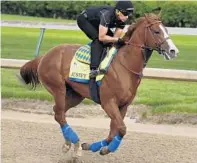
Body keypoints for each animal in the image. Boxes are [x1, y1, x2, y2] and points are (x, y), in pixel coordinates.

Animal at [18, 13, 179, 157]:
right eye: (156, 31)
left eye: (166, 30)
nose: (173, 51)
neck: (125, 65)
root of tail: (44, 56)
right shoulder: (108, 102)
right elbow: (122, 129)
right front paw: (105, 149)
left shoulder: (123, 105)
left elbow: (114, 131)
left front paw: (93, 146)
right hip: (58, 89)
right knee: (59, 113)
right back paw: (75, 144)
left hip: (75, 95)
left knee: (59, 113)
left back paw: (70, 144)